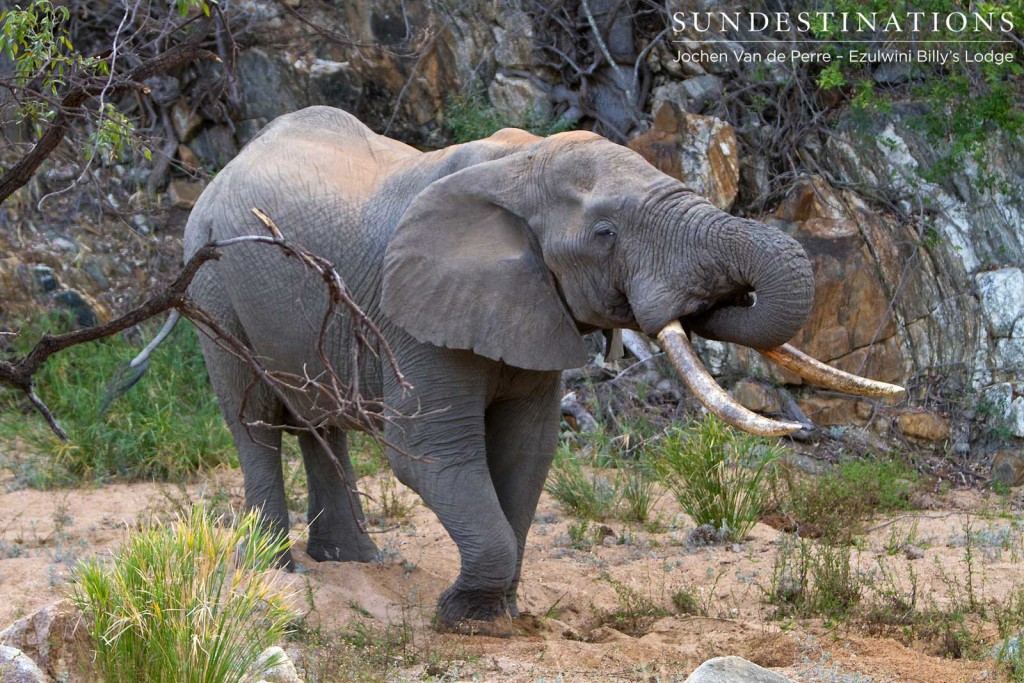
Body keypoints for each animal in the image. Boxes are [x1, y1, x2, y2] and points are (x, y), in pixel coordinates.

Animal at [180, 107, 901, 630]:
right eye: (606, 233)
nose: (802, 430)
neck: (518, 166)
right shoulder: (409, 311)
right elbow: (432, 454)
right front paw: (466, 620)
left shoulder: (534, 307)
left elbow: (528, 450)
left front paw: (499, 612)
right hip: (210, 281)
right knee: (253, 419)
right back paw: (277, 568)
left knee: (318, 423)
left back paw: (354, 560)